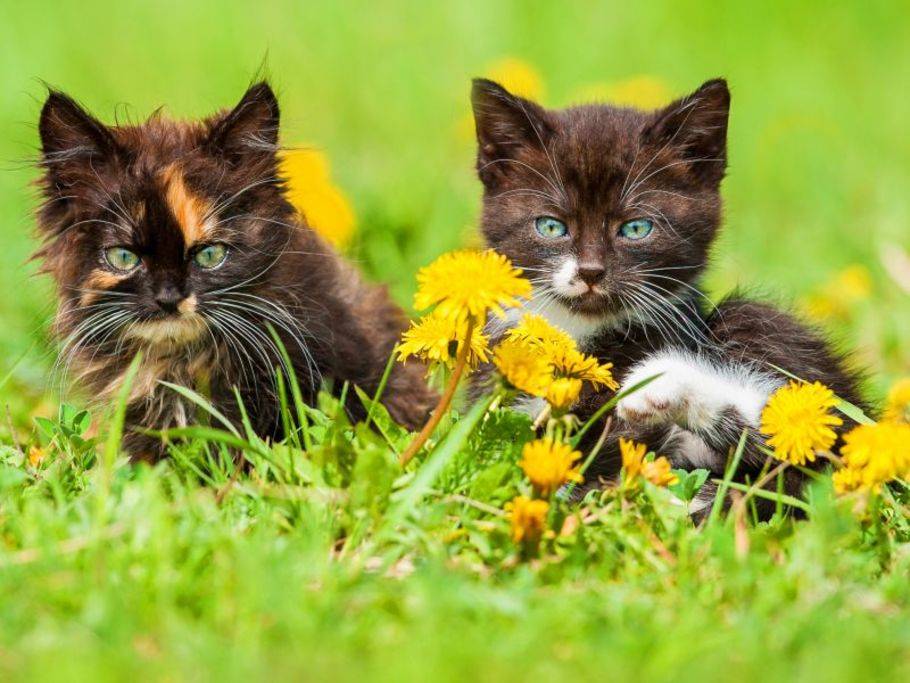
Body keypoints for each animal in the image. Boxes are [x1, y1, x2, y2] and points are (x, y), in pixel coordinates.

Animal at [474, 76, 864, 512]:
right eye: (551, 227)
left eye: (636, 229)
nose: (590, 271)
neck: (576, 336)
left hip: (756, 324)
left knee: (805, 433)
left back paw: (662, 386)